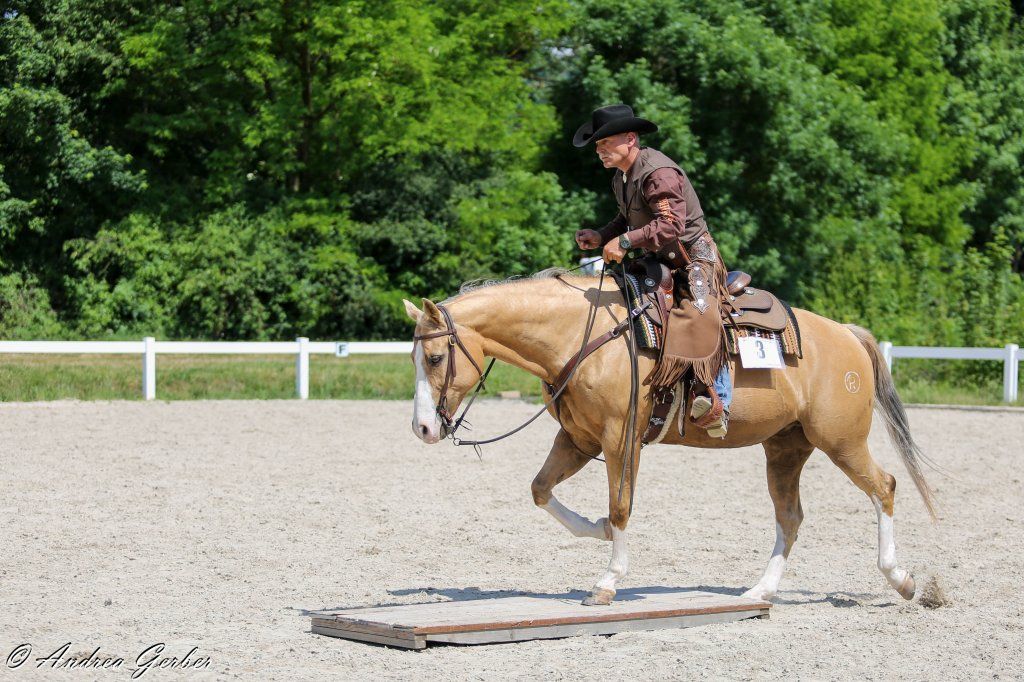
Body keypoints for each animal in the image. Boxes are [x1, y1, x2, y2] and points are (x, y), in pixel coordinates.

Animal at [403, 271, 936, 606]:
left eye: (434, 358)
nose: (423, 428)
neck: (582, 336)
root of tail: (845, 334)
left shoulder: (620, 439)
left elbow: (621, 506)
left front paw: (608, 581)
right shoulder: (577, 440)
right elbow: (541, 490)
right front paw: (596, 529)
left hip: (841, 442)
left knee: (884, 488)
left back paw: (905, 582)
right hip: (786, 448)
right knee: (791, 517)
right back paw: (760, 592)